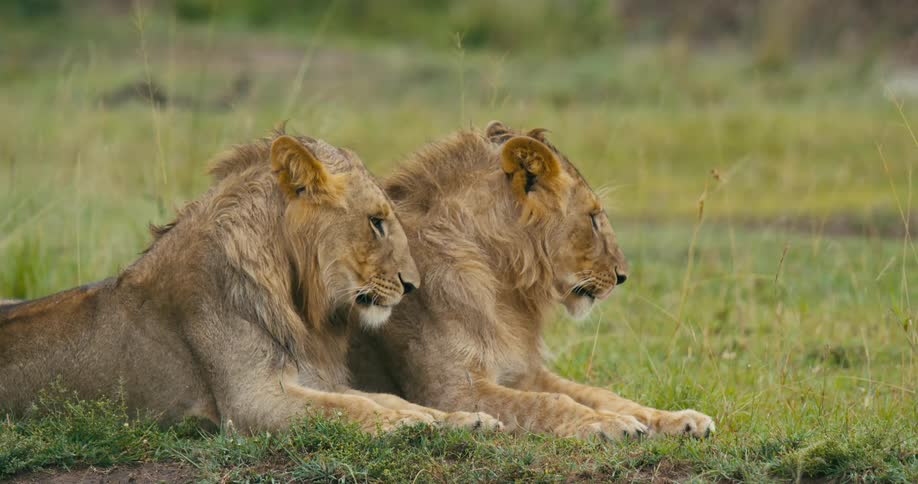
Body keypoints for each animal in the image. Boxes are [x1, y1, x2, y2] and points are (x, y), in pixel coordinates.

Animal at [0, 131, 500, 434]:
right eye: (376, 222)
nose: (412, 285)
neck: (293, 294)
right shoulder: (251, 401)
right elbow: (358, 408)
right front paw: (418, 427)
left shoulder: (309, 376)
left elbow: (387, 399)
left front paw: (464, 420)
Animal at [350, 121, 715, 440]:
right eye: (593, 217)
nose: (622, 275)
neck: (504, 285)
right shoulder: (451, 392)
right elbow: (549, 403)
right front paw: (610, 424)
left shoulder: (524, 372)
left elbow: (599, 393)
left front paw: (679, 419)